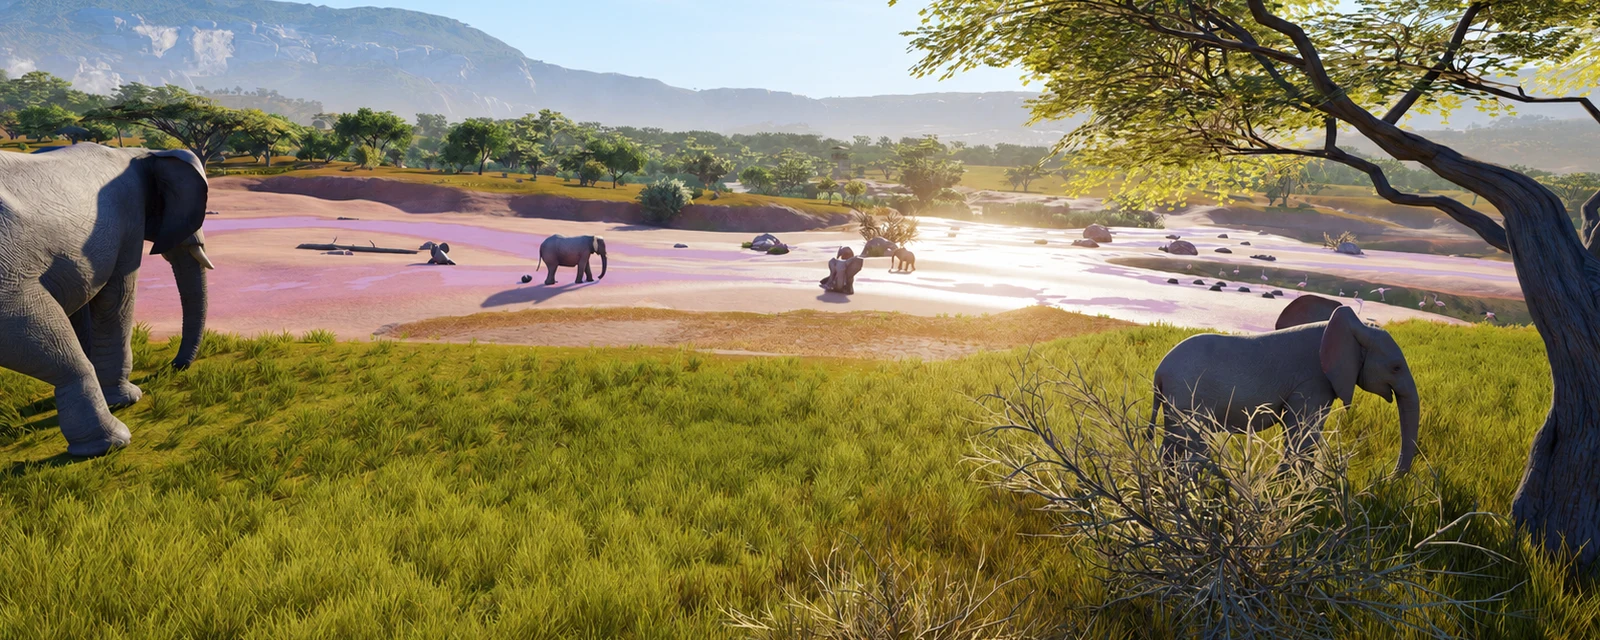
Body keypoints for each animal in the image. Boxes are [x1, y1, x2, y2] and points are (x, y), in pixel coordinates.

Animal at [0, 143, 213, 457]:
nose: (172, 367)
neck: (142, 153)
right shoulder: (130, 219)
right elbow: (118, 296)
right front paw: (126, 399)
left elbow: (85, 306)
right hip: (9, 280)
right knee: (54, 347)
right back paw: (109, 443)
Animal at [1150, 306, 1419, 475]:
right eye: (1396, 367)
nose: (1389, 475)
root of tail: (1158, 373)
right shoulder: (1313, 381)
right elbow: (1303, 437)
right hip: (1185, 399)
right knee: (1189, 445)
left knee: (1172, 447)